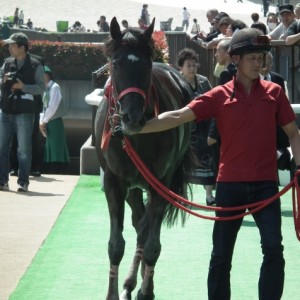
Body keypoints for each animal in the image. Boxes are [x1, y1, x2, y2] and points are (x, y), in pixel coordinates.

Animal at [95, 17, 195, 298]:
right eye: (115, 63)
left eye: (146, 64)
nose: (132, 117)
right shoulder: (114, 182)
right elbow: (115, 244)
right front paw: (113, 291)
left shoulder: (161, 182)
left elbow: (152, 244)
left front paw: (146, 290)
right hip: (133, 186)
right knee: (139, 222)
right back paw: (131, 279)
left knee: (145, 226)